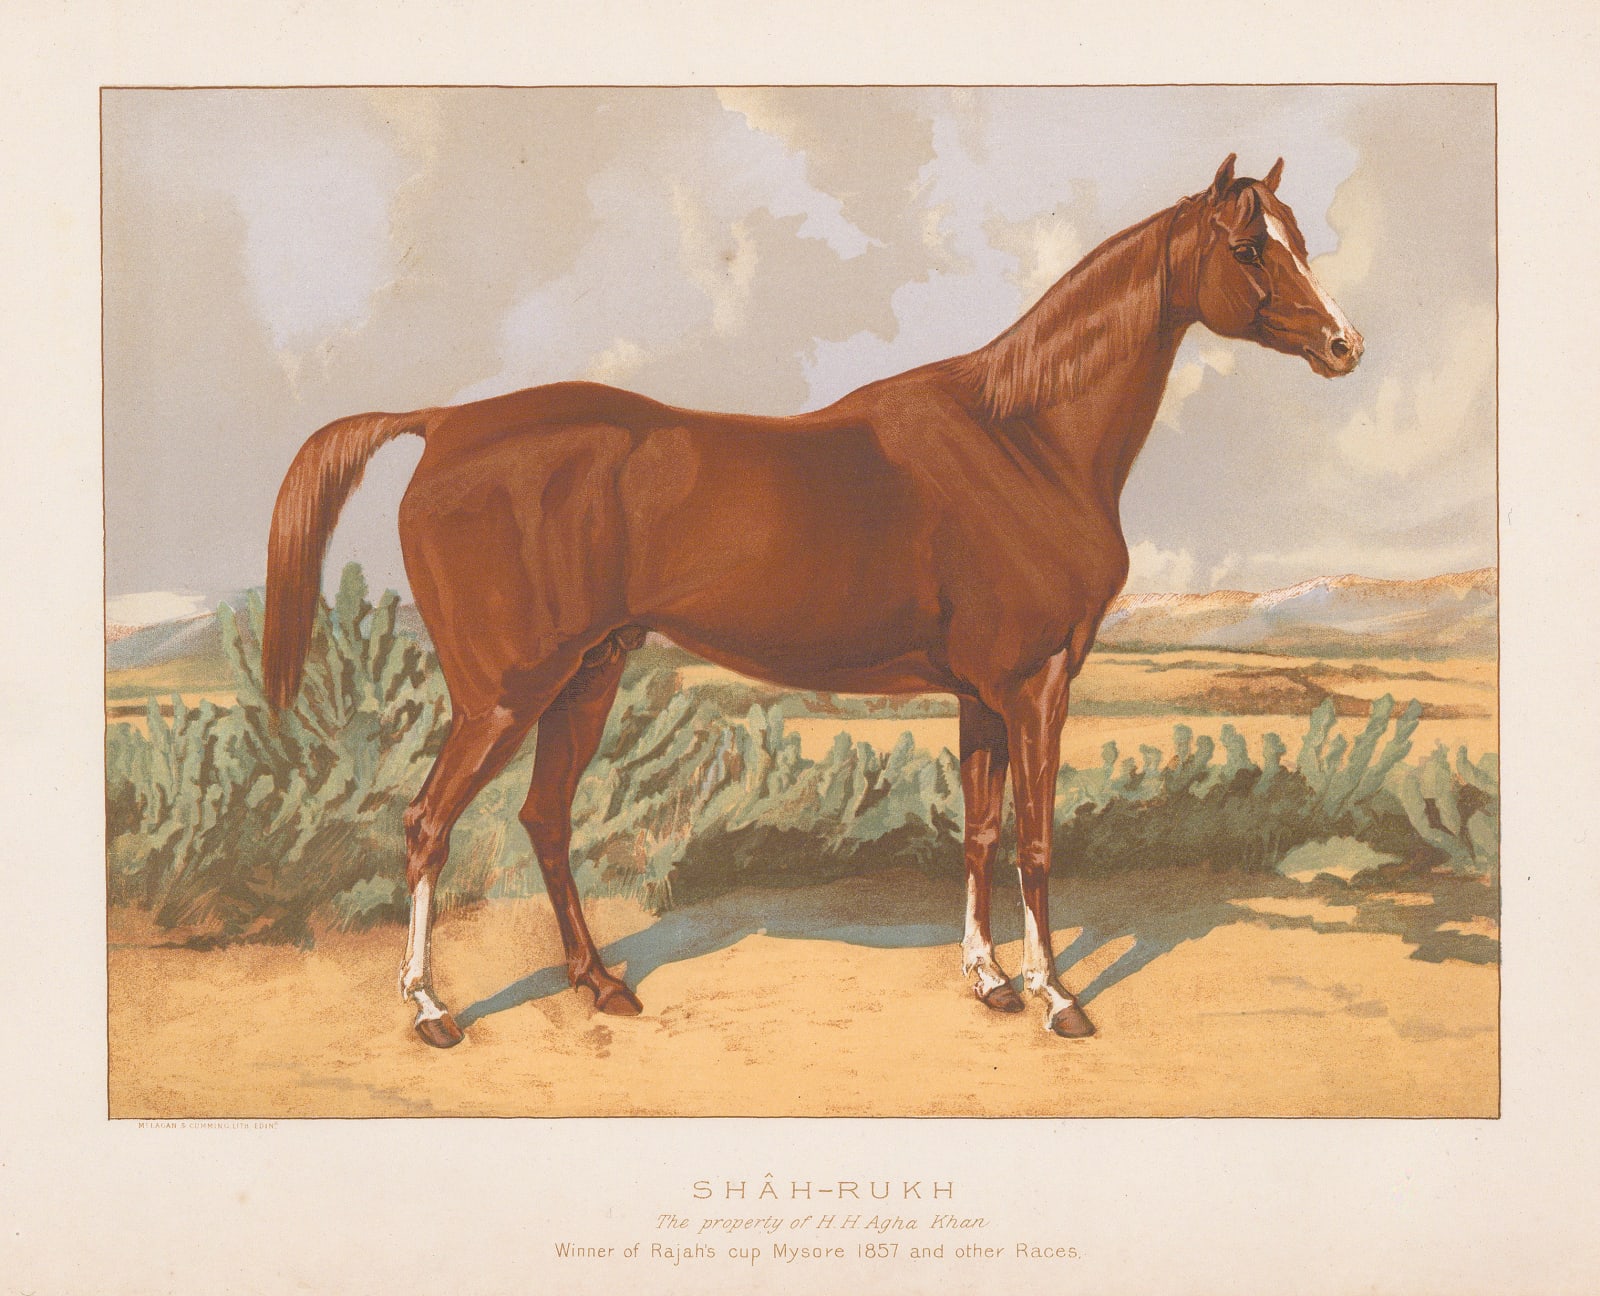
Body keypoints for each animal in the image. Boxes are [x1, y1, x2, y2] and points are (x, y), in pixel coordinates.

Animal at [262, 154, 1362, 1048]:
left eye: (1298, 239)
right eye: (1250, 246)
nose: (1346, 345)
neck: (1024, 440)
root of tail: (442, 424)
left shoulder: (981, 695)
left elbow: (979, 833)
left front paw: (988, 981)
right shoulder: (1036, 684)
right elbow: (1040, 845)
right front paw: (1057, 999)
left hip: (588, 675)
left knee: (541, 818)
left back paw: (601, 985)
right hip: (504, 691)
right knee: (426, 824)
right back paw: (431, 1009)